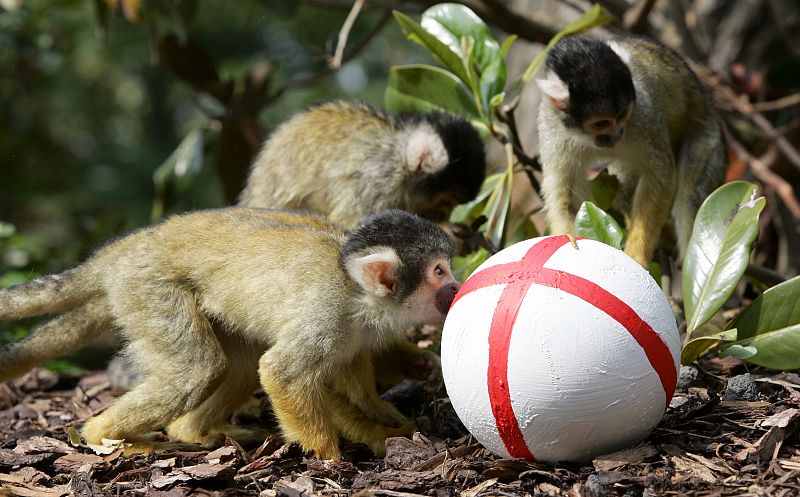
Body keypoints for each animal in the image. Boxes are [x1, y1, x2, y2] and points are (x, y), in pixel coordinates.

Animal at [0, 206, 460, 458]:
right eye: (439, 272)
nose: (456, 286)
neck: (358, 293)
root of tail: (128, 246)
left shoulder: (358, 328)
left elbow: (351, 369)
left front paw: (397, 390)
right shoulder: (327, 314)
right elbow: (283, 372)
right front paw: (330, 455)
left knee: (234, 366)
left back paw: (192, 432)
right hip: (147, 288)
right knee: (198, 369)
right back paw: (105, 437)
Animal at [536, 36, 728, 266]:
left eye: (622, 115)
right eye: (601, 123)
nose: (617, 135)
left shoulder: (643, 113)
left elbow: (661, 178)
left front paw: (637, 255)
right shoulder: (551, 125)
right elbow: (567, 190)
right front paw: (566, 238)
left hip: (708, 139)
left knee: (687, 197)